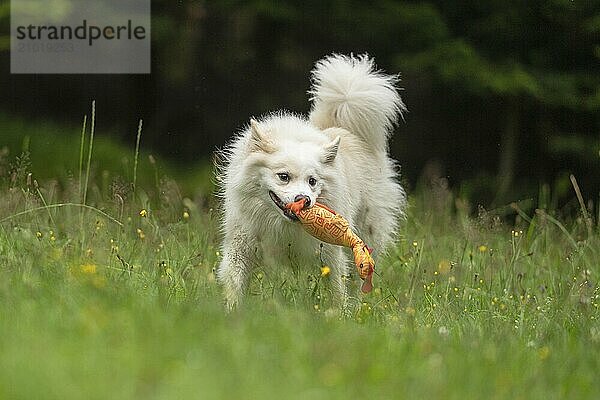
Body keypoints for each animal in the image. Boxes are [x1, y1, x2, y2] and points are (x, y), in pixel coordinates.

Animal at [216, 54, 408, 310]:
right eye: (283, 176)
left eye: (313, 181)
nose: (304, 200)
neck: (282, 224)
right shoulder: (240, 247)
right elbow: (235, 285)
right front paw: (232, 312)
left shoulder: (330, 254)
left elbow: (336, 289)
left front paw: (338, 314)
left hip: (366, 234)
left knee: (359, 278)